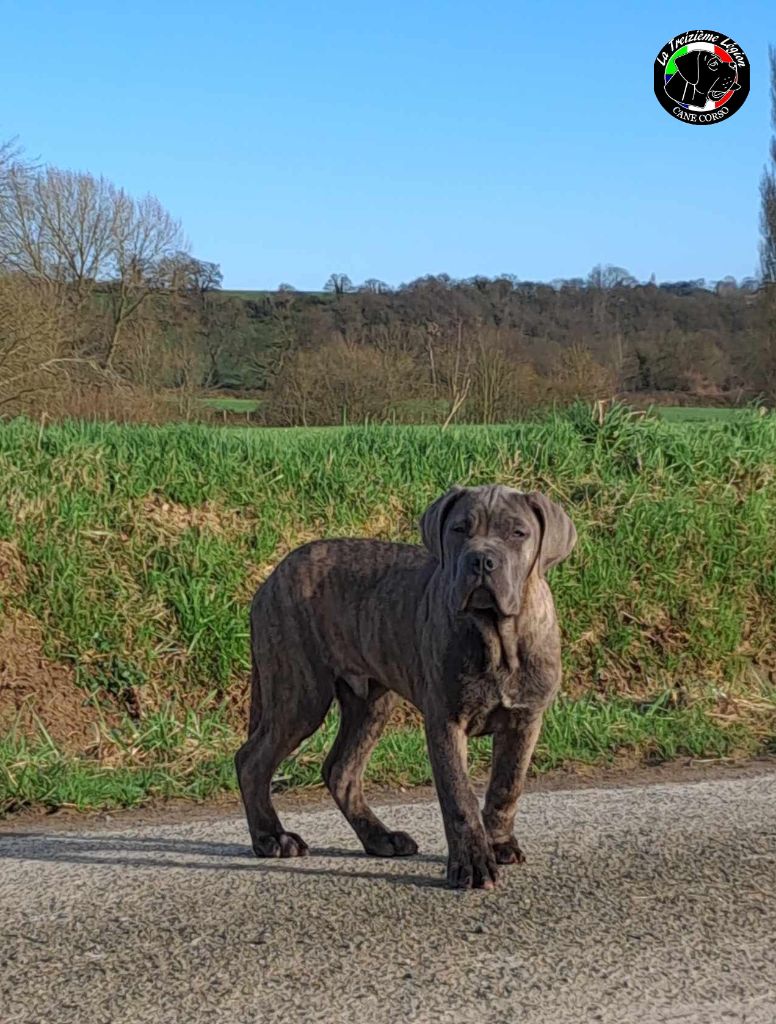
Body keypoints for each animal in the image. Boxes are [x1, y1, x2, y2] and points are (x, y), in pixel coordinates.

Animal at [237, 485, 577, 888]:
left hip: (370, 703)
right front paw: (473, 865)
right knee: (252, 760)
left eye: (518, 533)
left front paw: (499, 844)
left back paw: (380, 838)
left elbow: (507, 785)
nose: (481, 561)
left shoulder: (526, 719)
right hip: (299, 694)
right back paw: (271, 837)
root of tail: (273, 576)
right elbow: (459, 797)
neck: (497, 636)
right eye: (459, 529)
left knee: (341, 771)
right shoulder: (446, 720)